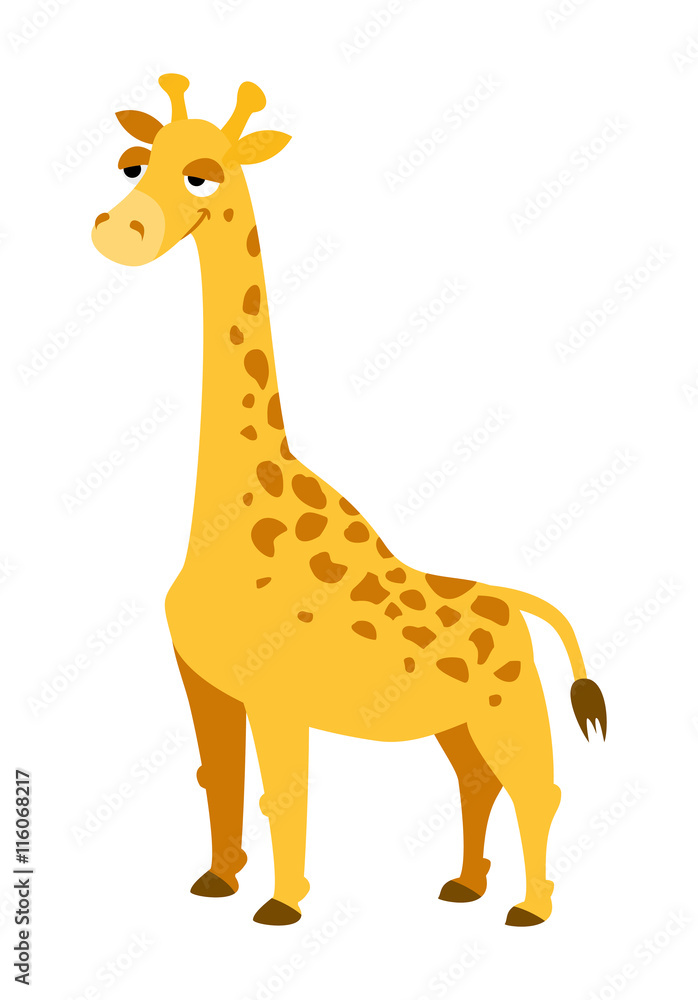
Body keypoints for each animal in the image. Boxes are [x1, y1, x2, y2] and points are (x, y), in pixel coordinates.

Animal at [91, 74, 607, 927]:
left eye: (203, 175)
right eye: (134, 164)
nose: (117, 231)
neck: (225, 513)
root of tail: (518, 606)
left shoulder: (275, 691)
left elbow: (282, 792)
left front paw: (281, 905)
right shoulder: (204, 682)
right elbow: (217, 780)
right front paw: (218, 881)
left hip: (510, 707)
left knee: (539, 787)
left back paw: (530, 909)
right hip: (460, 723)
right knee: (477, 781)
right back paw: (466, 886)